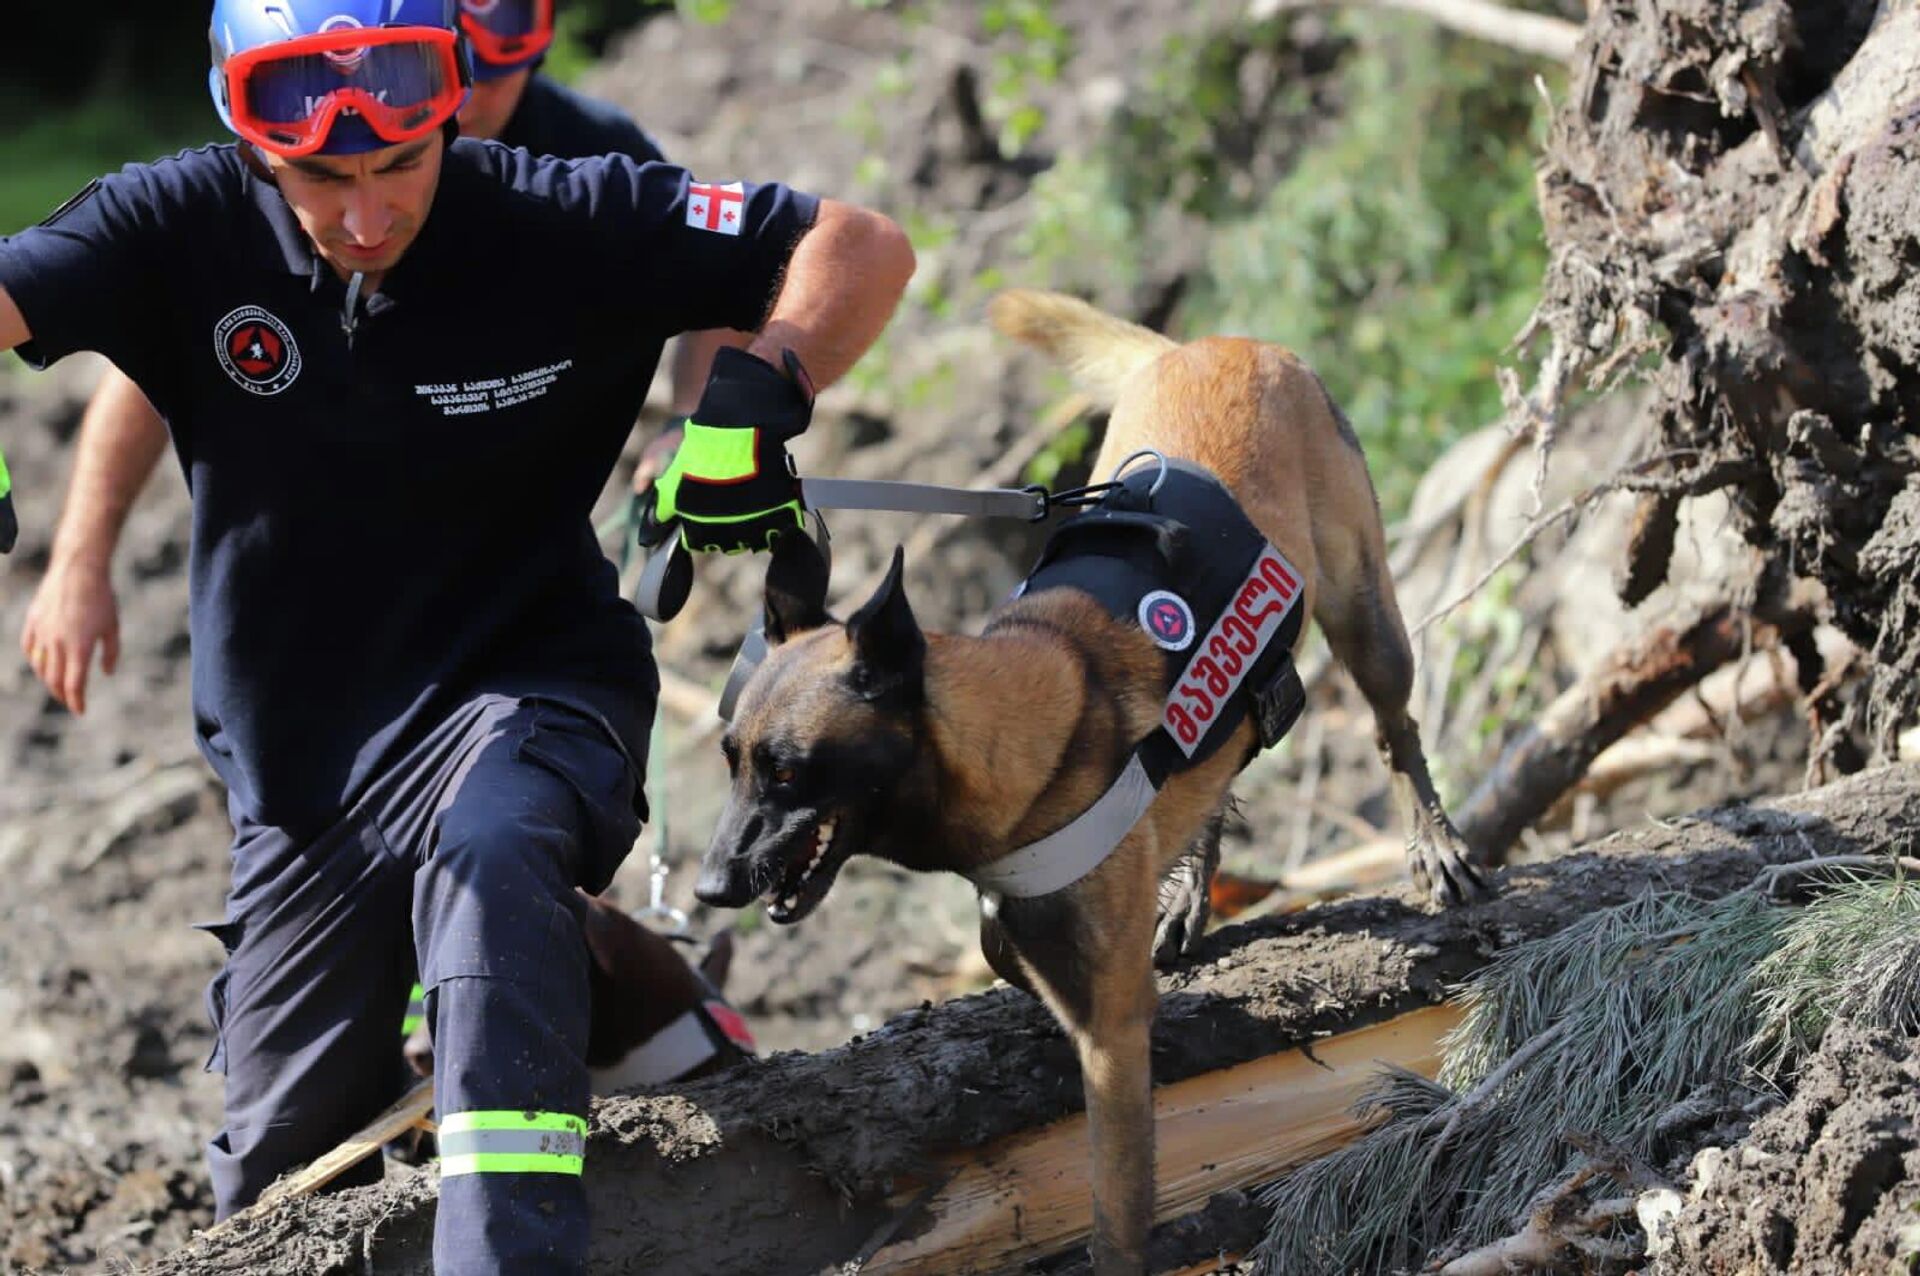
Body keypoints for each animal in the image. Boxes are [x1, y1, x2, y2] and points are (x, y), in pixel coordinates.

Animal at [691, 291, 1482, 1274]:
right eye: (730, 761)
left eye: (790, 770)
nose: (708, 887)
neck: (1023, 722)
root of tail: (1217, 343)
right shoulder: (1030, 922)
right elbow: (1008, 950)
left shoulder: (1107, 1038)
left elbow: (1117, 1199)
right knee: (1226, 768)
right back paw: (1188, 897)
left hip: (1365, 616)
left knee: (1394, 731)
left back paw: (1435, 846)